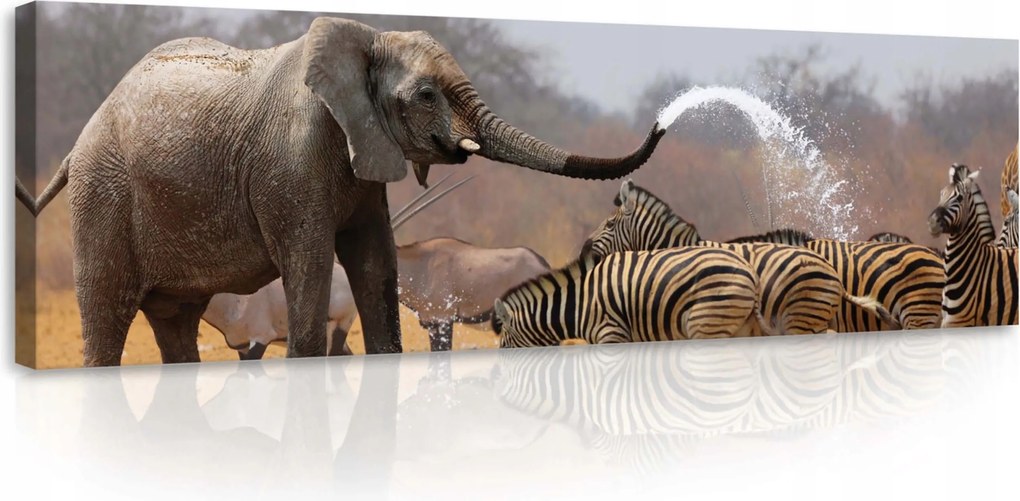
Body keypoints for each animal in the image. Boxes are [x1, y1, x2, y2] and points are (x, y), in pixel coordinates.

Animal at [491, 247, 766, 347]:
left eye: (505, 345)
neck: (580, 303)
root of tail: (749, 270)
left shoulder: (611, 333)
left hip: (707, 324)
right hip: (740, 326)